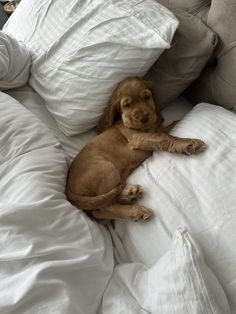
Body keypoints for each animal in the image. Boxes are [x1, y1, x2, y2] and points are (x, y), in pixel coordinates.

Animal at [66, 76, 206, 223]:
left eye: (147, 97)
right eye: (127, 105)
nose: (144, 118)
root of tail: (68, 191)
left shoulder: (154, 130)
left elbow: (167, 129)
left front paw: (178, 122)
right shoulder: (138, 138)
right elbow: (165, 138)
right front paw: (187, 143)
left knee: (103, 208)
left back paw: (130, 194)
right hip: (106, 168)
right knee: (104, 208)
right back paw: (136, 210)